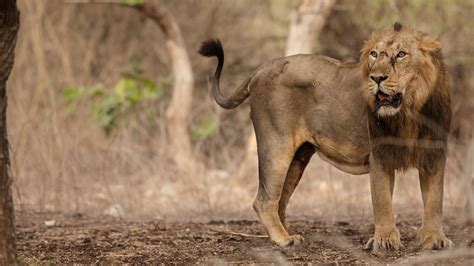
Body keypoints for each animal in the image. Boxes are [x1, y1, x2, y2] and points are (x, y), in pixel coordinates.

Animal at [199, 21, 452, 250]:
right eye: (374, 54)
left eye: (401, 54)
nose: (377, 78)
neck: (411, 111)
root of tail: (260, 69)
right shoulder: (379, 154)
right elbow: (382, 203)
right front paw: (385, 240)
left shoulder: (434, 156)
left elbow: (434, 201)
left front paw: (434, 240)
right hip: (276, 145)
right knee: (263, 201)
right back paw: (283, 240)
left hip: (298, 158)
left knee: (280, 201)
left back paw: (288, 233)